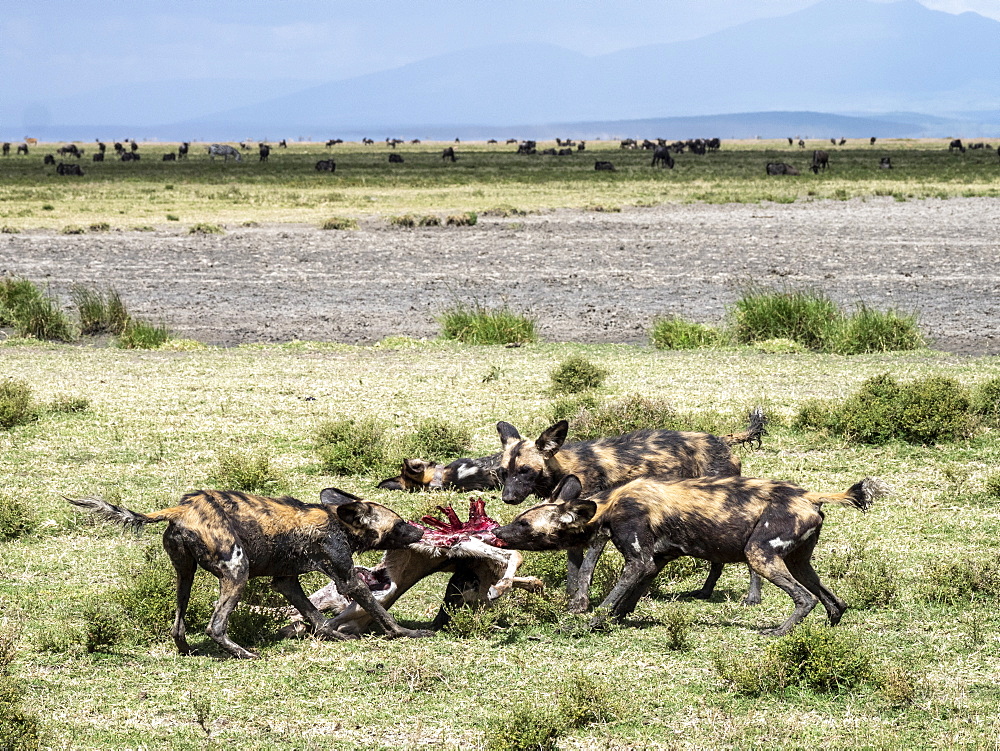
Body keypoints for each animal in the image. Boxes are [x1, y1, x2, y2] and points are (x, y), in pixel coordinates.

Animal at [65, 488, 434, 656]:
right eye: (400, 524)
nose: (420, 531)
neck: (338, 523)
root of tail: (182, 508)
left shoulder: (286, 582)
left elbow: (316, 617)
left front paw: (335, 636)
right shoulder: (348, 580)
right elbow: (380, 612)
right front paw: (407, 633)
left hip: (185, 576)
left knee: (178, 622)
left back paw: (186, 650)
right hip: (236, 572)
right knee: (215, 625)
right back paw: (243, 653)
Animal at [492, 408, 764, 612]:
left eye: (525, 471)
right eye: (504, 473)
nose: (508, 498)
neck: (568, 467)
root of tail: (721, 440)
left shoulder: (597, 526)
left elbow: (585, 568)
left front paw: (579, 604)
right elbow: (574, 567)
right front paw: (570, 597)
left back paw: (753, 596)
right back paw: (706, 591)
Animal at [492, 476, 892, 636]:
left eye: (524, 524)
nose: (498, 532)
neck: (609, 507)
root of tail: (810, 495)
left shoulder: (639, 560)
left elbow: (609, 601)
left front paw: (590, 624)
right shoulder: (653, 563)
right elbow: (627, 599)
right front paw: (618, 621)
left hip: (760, 555)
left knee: (805, 598)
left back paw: (778, 632)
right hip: (798, 561)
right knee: (831, 599)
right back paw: (829, 627)